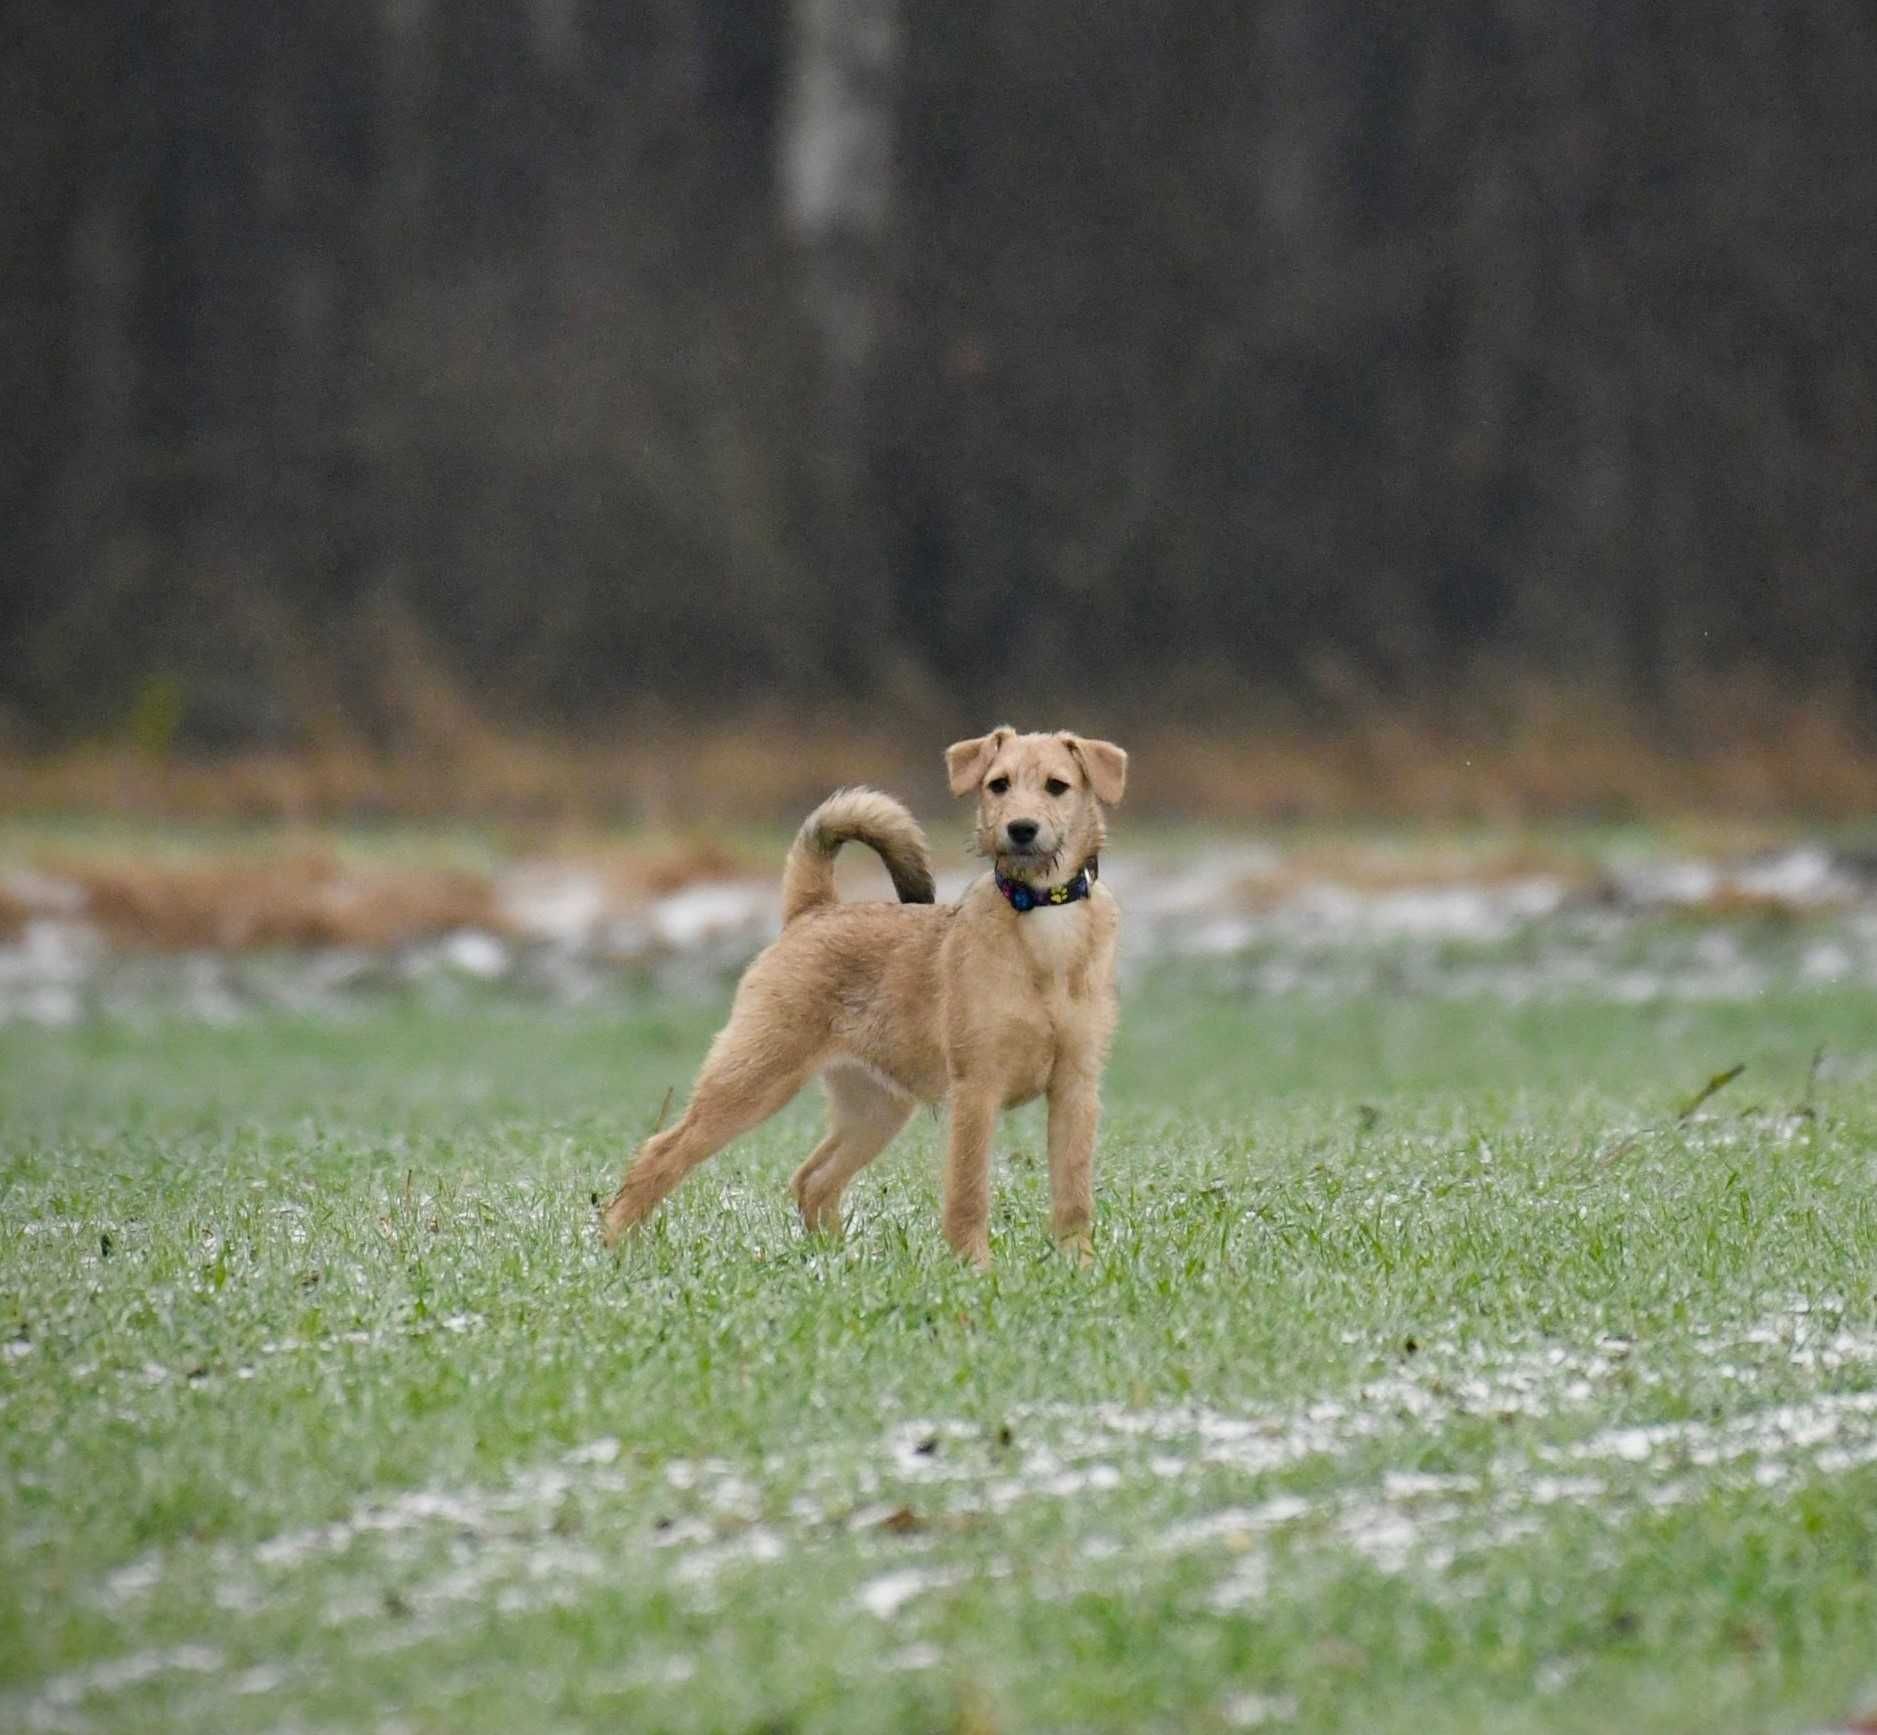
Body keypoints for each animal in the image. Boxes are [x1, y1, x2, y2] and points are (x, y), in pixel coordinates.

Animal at [604, 724, 1126, 1269]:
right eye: (998, 784)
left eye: (1057, 786)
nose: (1021, 829)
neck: (1044, 920)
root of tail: (812, 910)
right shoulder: (976, 1090)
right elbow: (968, 1193)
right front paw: (975, 1268)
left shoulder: (1075, 1088)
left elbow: (1072, 1193)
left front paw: (1079, 1265)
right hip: (752, 1080)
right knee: (661, 1151)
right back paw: (614, 1245)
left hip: (874, 1109)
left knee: (813, 1179)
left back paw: (839, 1261)